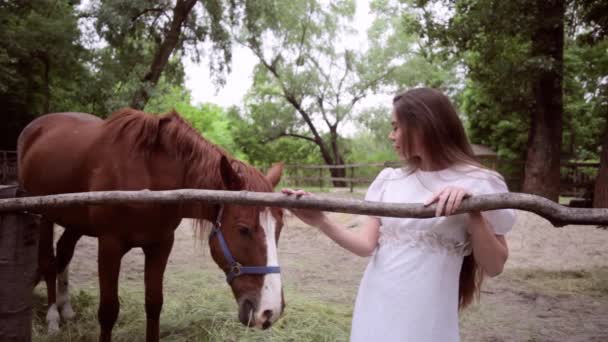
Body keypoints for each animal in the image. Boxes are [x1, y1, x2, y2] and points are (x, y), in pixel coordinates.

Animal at [17, 109, 284, 342]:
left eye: (279, 228)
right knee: (49, 262)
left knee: (64, 253)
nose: (270, 311)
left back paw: (66, 308)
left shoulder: (161, 244)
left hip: (74, 221)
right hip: (43, 213)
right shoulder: (110, 245)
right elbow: (108, 311)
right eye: (243, 229)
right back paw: (53, 317)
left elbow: (154, 304)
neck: (149, 176)